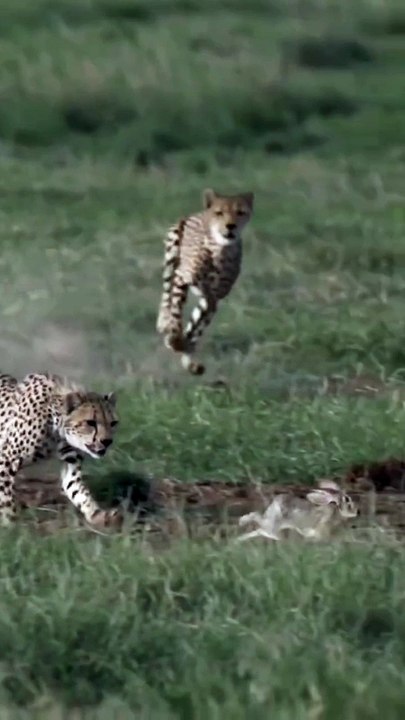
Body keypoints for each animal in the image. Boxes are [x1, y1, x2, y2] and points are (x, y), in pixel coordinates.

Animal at [0, 371, 121, 528]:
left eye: (113, 423)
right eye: (90, 422)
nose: (107, 441)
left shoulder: (71, 464)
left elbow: (79, 491)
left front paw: (98, 515)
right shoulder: (6, 458)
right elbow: (6, 498)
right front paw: (10, 525)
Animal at [156, 188, 254, 375]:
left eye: (240, 212)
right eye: (219, 213)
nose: (230, 226)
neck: (219, 250)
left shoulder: (212, 297)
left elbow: (195, 325)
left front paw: (184, 347)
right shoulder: (182, 277)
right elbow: (176, 313)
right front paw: (174, 336)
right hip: (172, 249)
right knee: (166, 293)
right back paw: (164, 322)